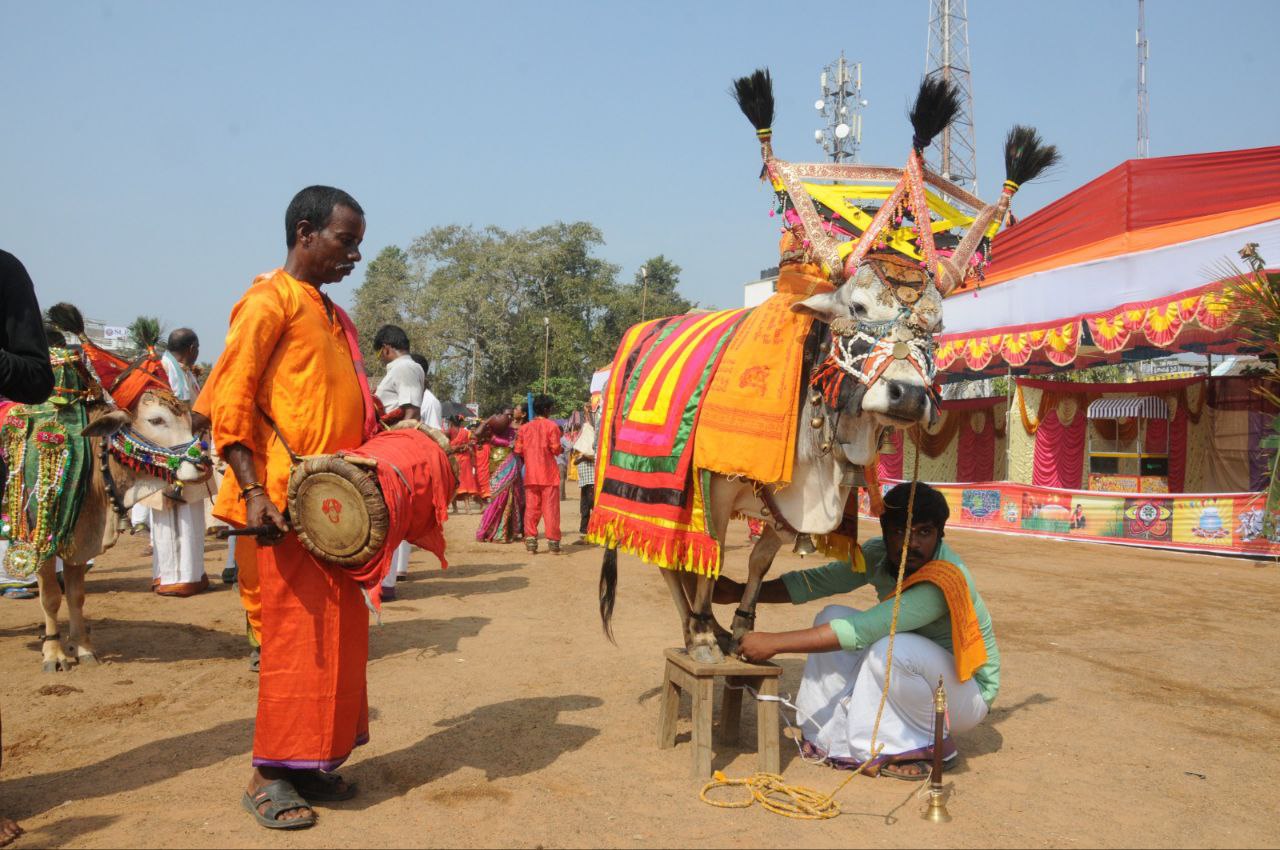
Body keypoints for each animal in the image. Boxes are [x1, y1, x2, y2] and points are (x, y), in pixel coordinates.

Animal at [0, 305, 212, 670]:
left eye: (188, 418)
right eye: (156, 420)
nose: (203, 463)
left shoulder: (79, 539)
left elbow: (76, 595)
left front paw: (83, 647)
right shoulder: (42, 539)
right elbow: (51, 597)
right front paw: (54, 652)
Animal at [591, 69, 1059, 660]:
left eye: (935, 327)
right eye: (856, 308)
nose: (908, 396)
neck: (817, 452)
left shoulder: (781, 508)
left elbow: (759, 560)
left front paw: (738, 627)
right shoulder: (712, 488)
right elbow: (707, 557)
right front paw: (701, 635)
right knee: (668, 560)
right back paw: (694, 628)